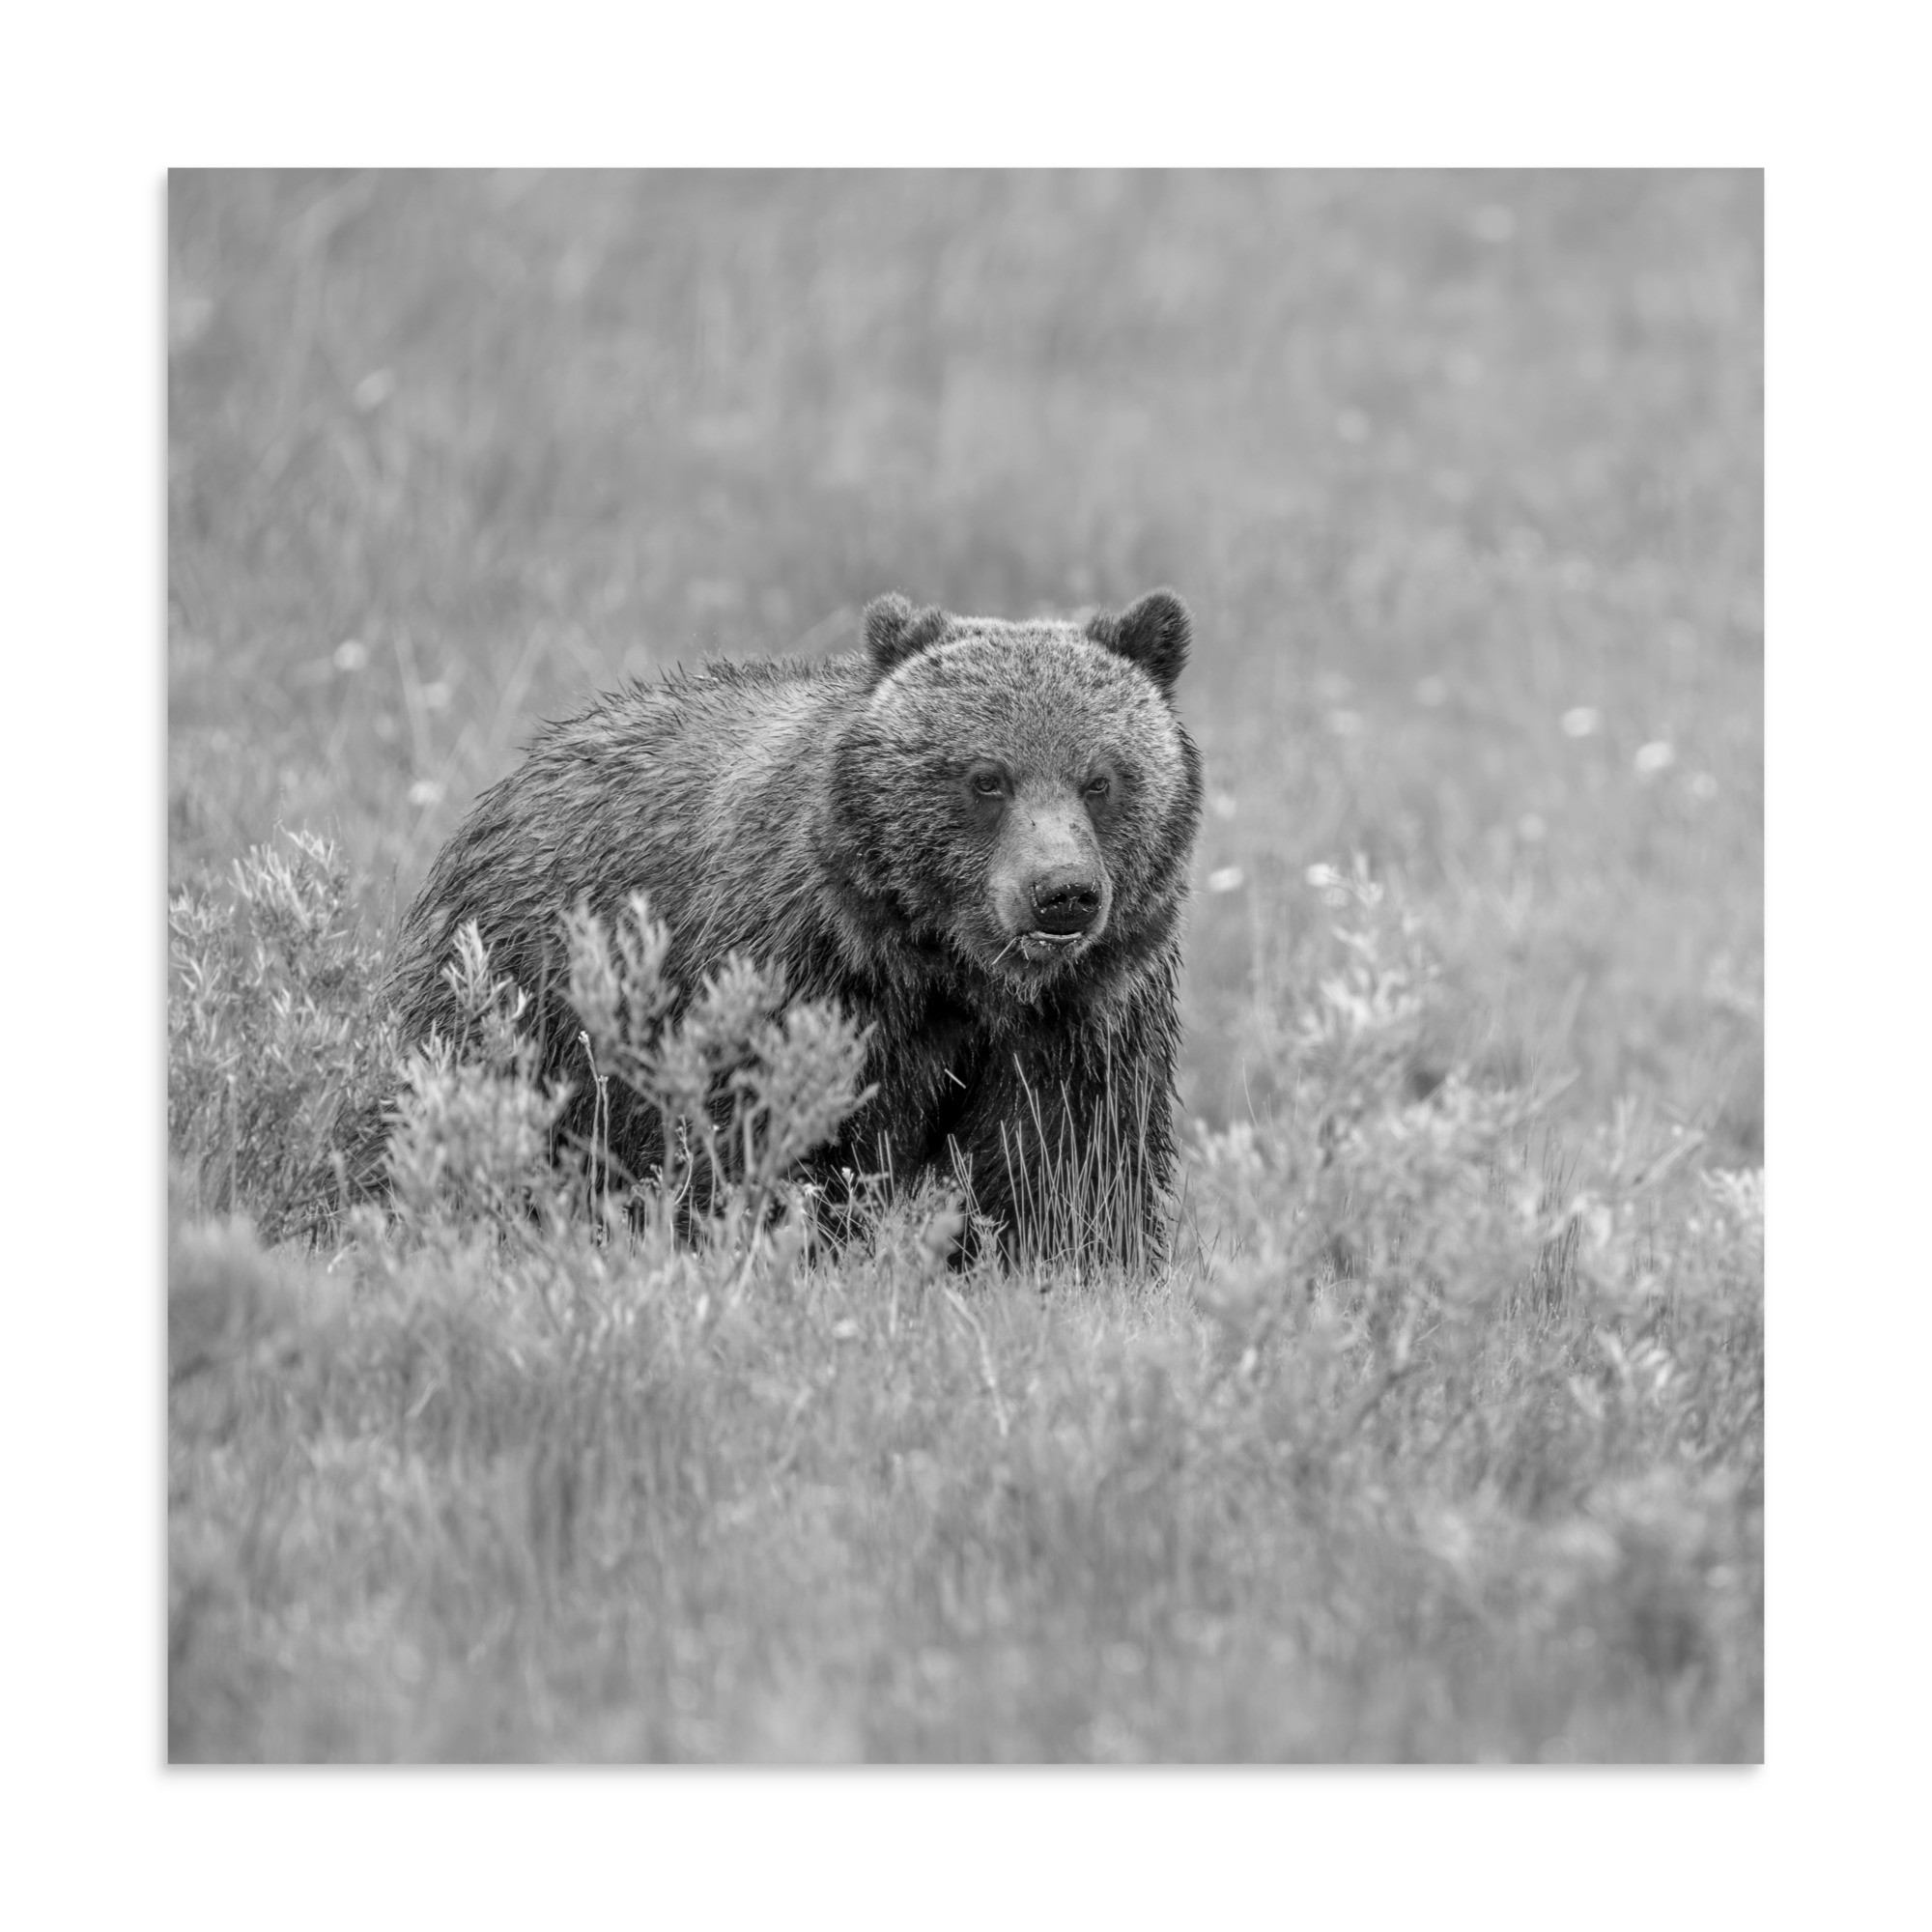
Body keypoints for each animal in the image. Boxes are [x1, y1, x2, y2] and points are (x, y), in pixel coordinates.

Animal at [380, 589, 1204, 1265]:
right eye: (986, 778)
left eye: (1100, 779)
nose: (1061, 893)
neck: (951, 970)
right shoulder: (805, 976)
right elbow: (777, 1140)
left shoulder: (1084, 1015)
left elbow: (1069, 1166)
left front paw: (1073, 1265)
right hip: (525, 992)